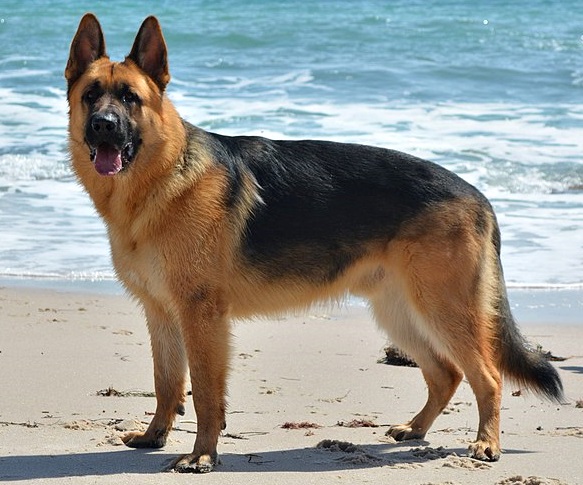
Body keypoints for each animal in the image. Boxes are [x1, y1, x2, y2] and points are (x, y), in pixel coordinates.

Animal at [66, 14, 564, 472]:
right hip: (401, 313)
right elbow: (166, 383)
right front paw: (155, 436)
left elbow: (206, 392)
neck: (162, 176)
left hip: (442, 310)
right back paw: (416, 429)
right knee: (446, 373)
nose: (104, 126)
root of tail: (478, 195)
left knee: (488, 376)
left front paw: (202, 455)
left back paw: (486, 444)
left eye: (130, 98)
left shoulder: (201, 317)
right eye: (91, 95)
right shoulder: (162, 314)